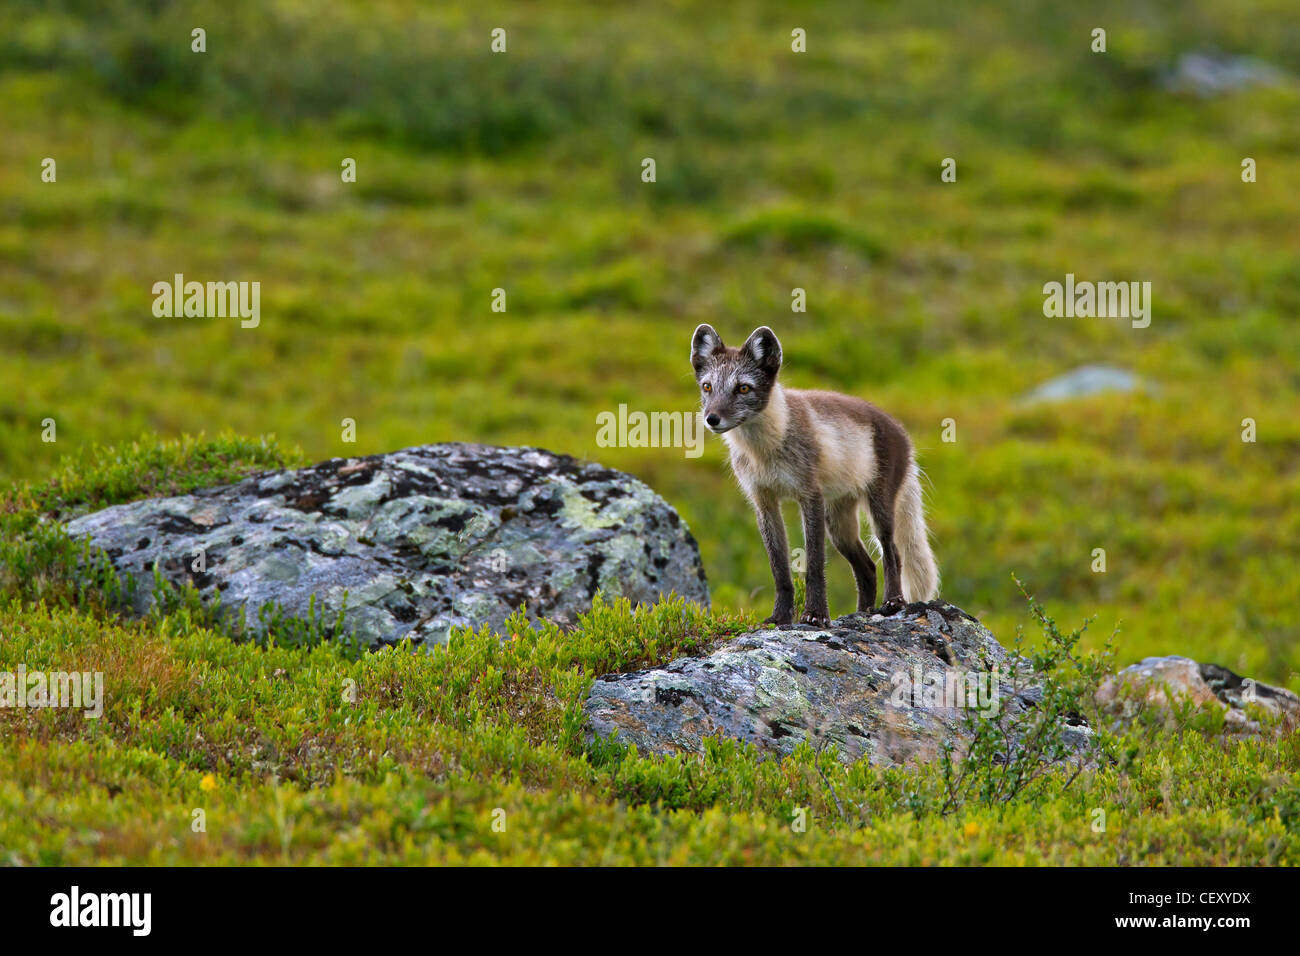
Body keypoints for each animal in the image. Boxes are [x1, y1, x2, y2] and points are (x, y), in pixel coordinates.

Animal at [691, 325, 935, 629]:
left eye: (743, 388)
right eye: (707, 387)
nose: (712, 418)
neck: (765, 452)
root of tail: (904, 435)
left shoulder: (810, 495)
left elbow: (815, 564)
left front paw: (816, 615)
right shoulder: (764, 501)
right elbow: (779, 570)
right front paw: (780, 617)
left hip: (878, 507)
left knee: (892, 554)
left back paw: (892, 602)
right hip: (839, 525)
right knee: (867, 567)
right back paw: (863, 613)